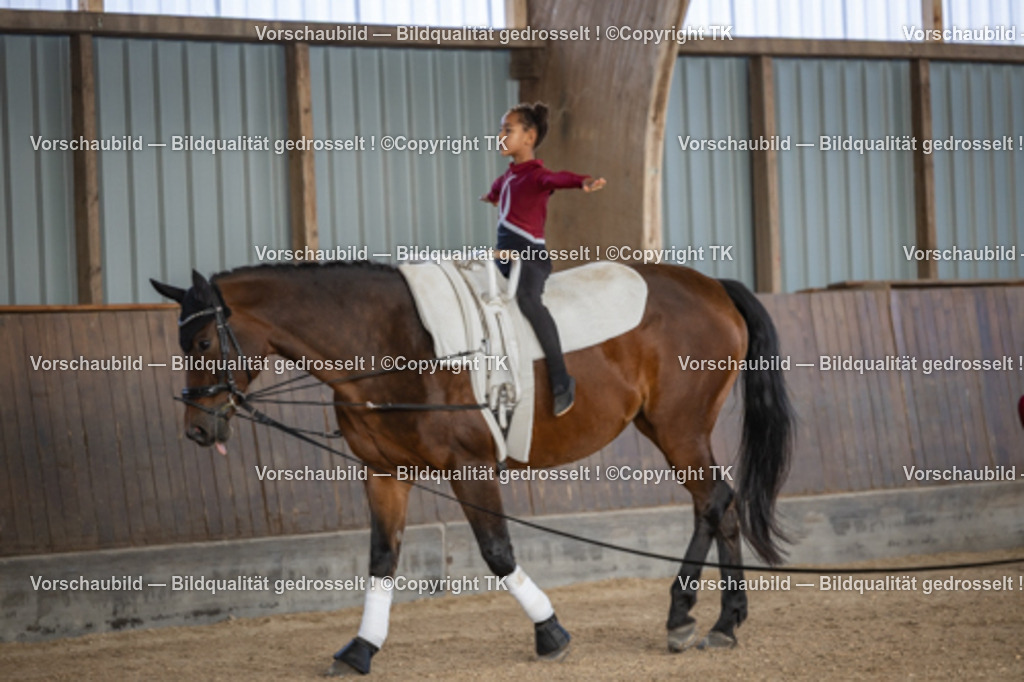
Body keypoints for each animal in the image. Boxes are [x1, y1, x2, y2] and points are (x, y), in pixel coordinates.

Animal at [151, 261, 793, 675]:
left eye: (203, 343)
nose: (197, 430)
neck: (392, 341)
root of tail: (710, 286)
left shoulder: (472, 467)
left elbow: (498, 551)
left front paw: (550, 633)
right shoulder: (383, 471)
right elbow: (382, 558)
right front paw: (360, 649)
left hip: (680, 428)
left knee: (713, 503)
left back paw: (689, 618)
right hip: (667, 429)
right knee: (719, 505)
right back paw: (720, 622)